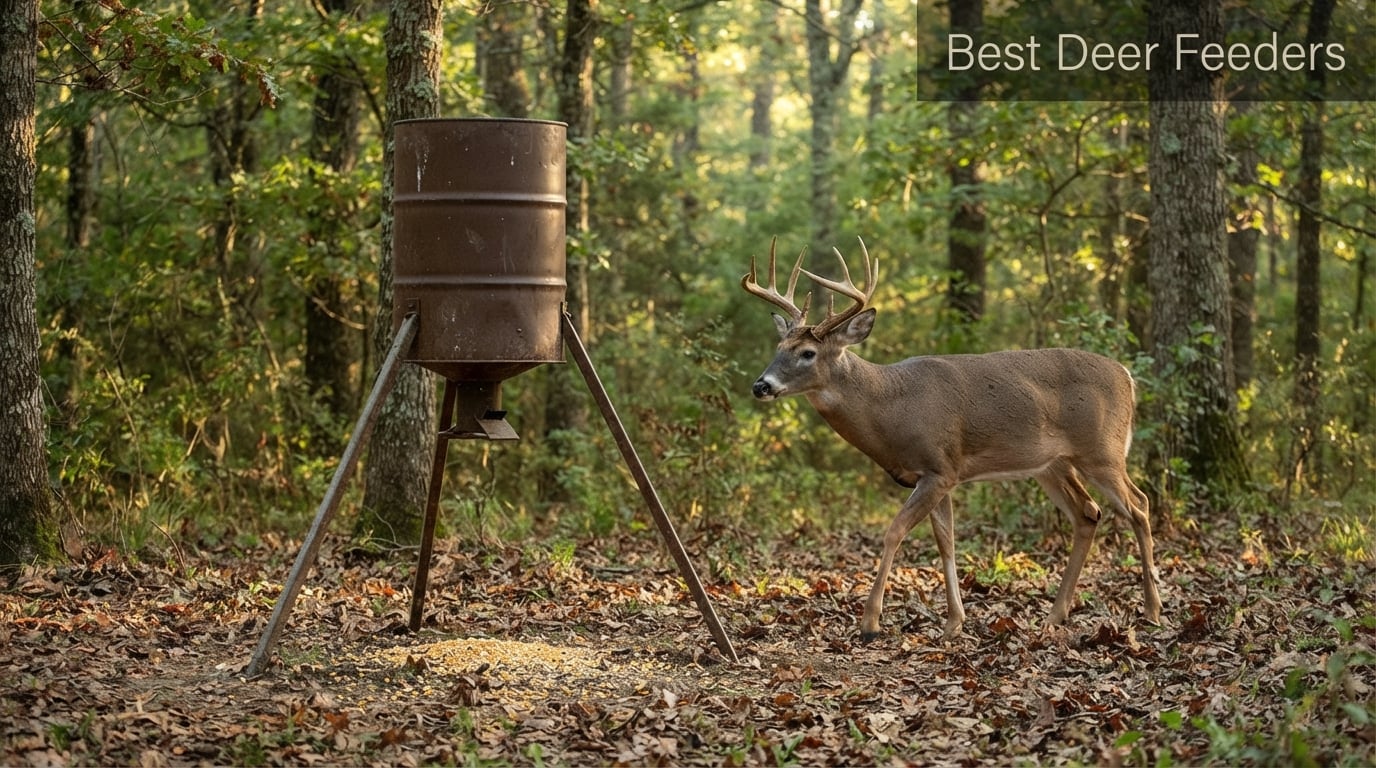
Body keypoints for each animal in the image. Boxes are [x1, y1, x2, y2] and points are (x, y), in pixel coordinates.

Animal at [741, 237, 1162, 642]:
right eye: (779, 348)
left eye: (807, 353)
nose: (761, 386)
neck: (890, 406)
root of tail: (1127, 376)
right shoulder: (942, 474)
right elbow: (947, 543)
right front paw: (954, 623)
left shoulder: (939, 467)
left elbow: (894, 532)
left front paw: (870, 623)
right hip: (1053, 465)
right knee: (1088, 513)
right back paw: (1055, 616)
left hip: (1102, 452)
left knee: (1139, 506)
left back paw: (1152, 610)